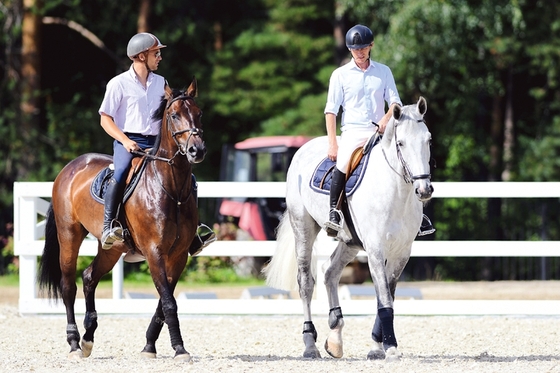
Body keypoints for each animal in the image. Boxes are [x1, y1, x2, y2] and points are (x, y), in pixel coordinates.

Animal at [39, 78, 206, 360]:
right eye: (173, 115)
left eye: (199, 113)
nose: (197, 150)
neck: (170, 188)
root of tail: (69, 168)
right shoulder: (154, 251)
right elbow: (169, 302)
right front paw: (179, 349)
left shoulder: (178, 255)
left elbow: (164, 302)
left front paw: (150, 345)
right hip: (69, 235)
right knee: (68, 285)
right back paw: (74, 342)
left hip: (113, 248)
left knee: (89, 277)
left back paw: (88, 338)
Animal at [264, 96, 434, 360]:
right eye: (401, 143)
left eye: (428, 140)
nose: (424, 190)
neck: (396, 192)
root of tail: (304, 148)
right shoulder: (375, 250)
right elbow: (384, 299)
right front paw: (389, 347)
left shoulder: (402, 252)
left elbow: (388, 297)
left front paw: (377, 346)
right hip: (303, 228)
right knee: (306, 282)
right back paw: (310, 345)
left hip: (350, 243)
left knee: (330, 273)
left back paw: (335, 338)